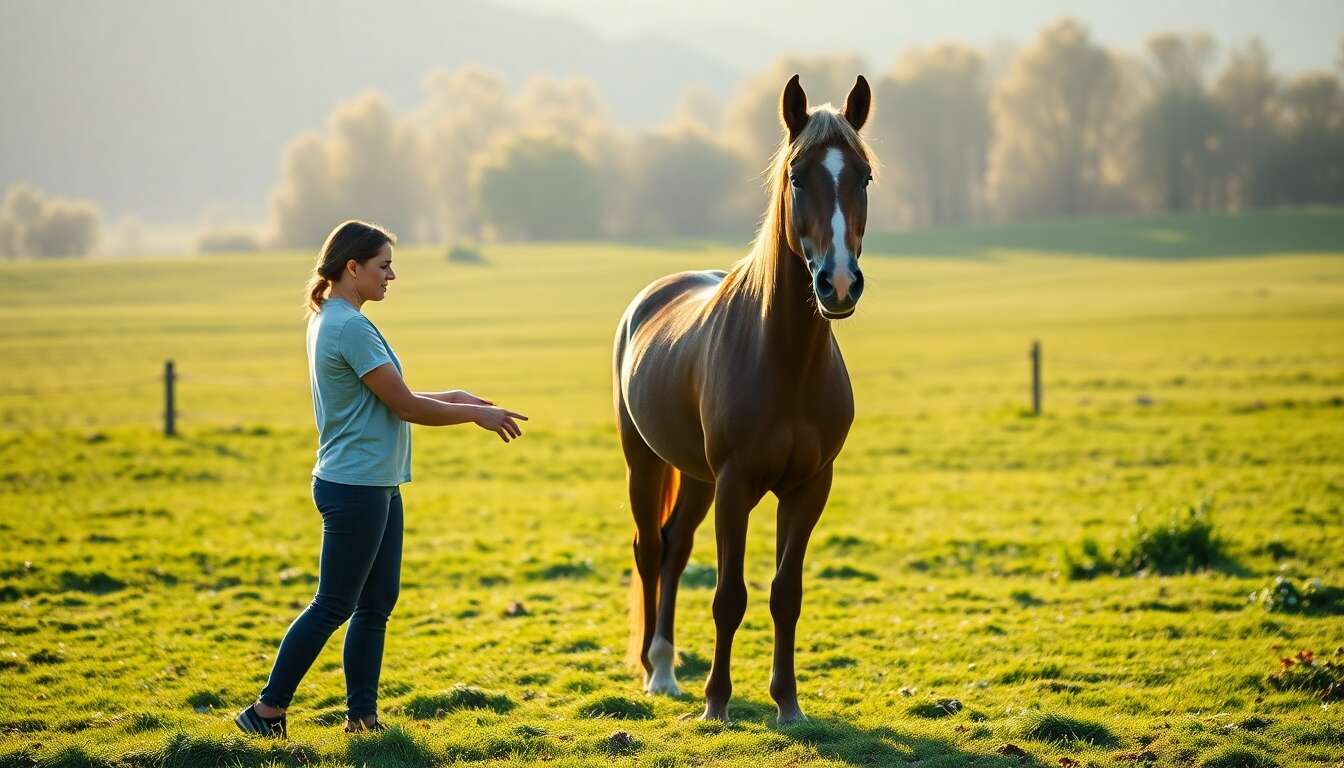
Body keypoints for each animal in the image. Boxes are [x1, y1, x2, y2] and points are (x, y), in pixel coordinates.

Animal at [613, 74, 876, 723]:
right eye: (798, 176)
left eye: (863, 176)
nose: (838, 284)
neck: (784, 361)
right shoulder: (735, 484)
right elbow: (729, 595)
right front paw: (717, 703)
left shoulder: (809, 487)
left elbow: (787, 593)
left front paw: (788, 703)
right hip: (646, 463)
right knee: (650, 550)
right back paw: (655, 672)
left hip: (696, 476)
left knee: (675, 547)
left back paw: (665, 666)